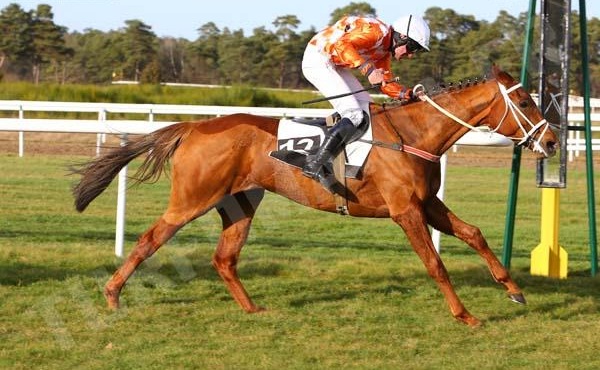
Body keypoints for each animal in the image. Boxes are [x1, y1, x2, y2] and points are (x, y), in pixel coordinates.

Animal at [74, 66, 556, 326]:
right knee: (150, 239)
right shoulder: (405, 211)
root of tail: (195, 126)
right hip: (192, 199)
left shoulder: (428, 204)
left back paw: (253, 308)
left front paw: (513, 290)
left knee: (224, 259)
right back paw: (112, 295)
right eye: (525, 103)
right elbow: (435, 263)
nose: (551, 142)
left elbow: (474, 233)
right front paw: (465, 315)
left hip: (241, 203)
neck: (414, 134)